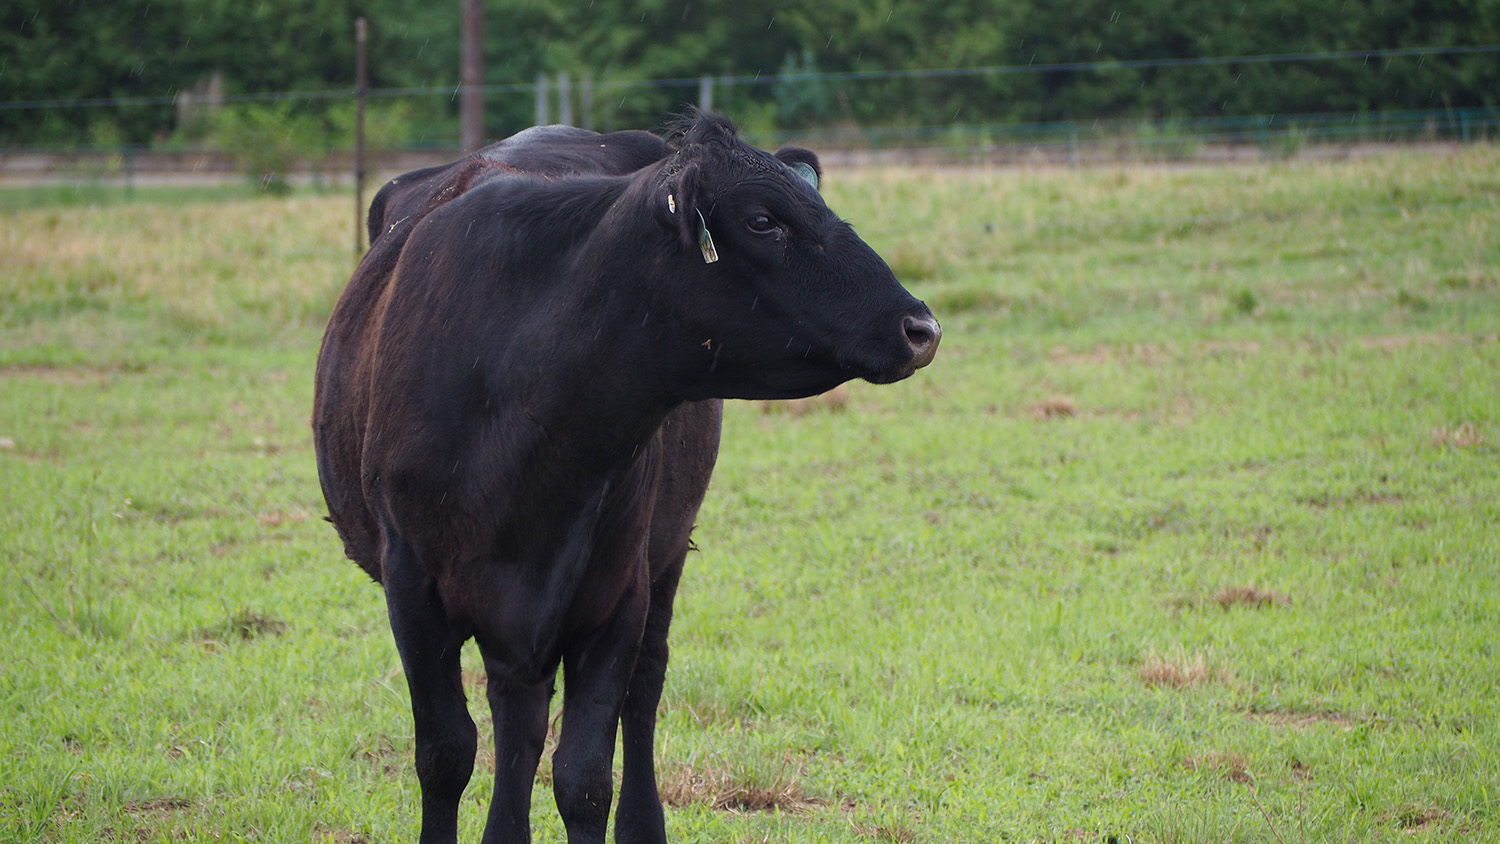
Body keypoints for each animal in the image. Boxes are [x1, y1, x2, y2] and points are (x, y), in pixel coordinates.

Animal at [315, 113, 936, 844]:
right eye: (762, 220)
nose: (920, 326)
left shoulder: (617, 592)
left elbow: (584, 778)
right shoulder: (411, 584)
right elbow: (446, 755)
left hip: (662, 553)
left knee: (634, 694)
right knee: (518, 721)